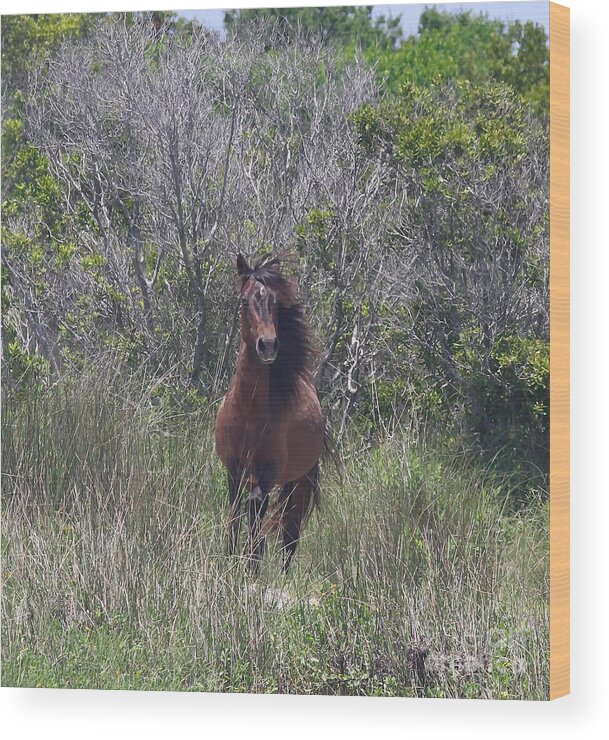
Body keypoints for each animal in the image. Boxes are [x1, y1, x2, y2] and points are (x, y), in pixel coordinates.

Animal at [216, 253, 326, 572]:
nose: (267, 345)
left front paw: (250, 562)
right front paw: (230, 558)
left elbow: (256, 510)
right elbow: (234, 513)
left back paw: (281, 572)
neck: (248, 414)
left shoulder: (268, 473)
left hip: (298, 482)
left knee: (290, 532)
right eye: (243, 301)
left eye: (275, 302)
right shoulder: (234, 469)